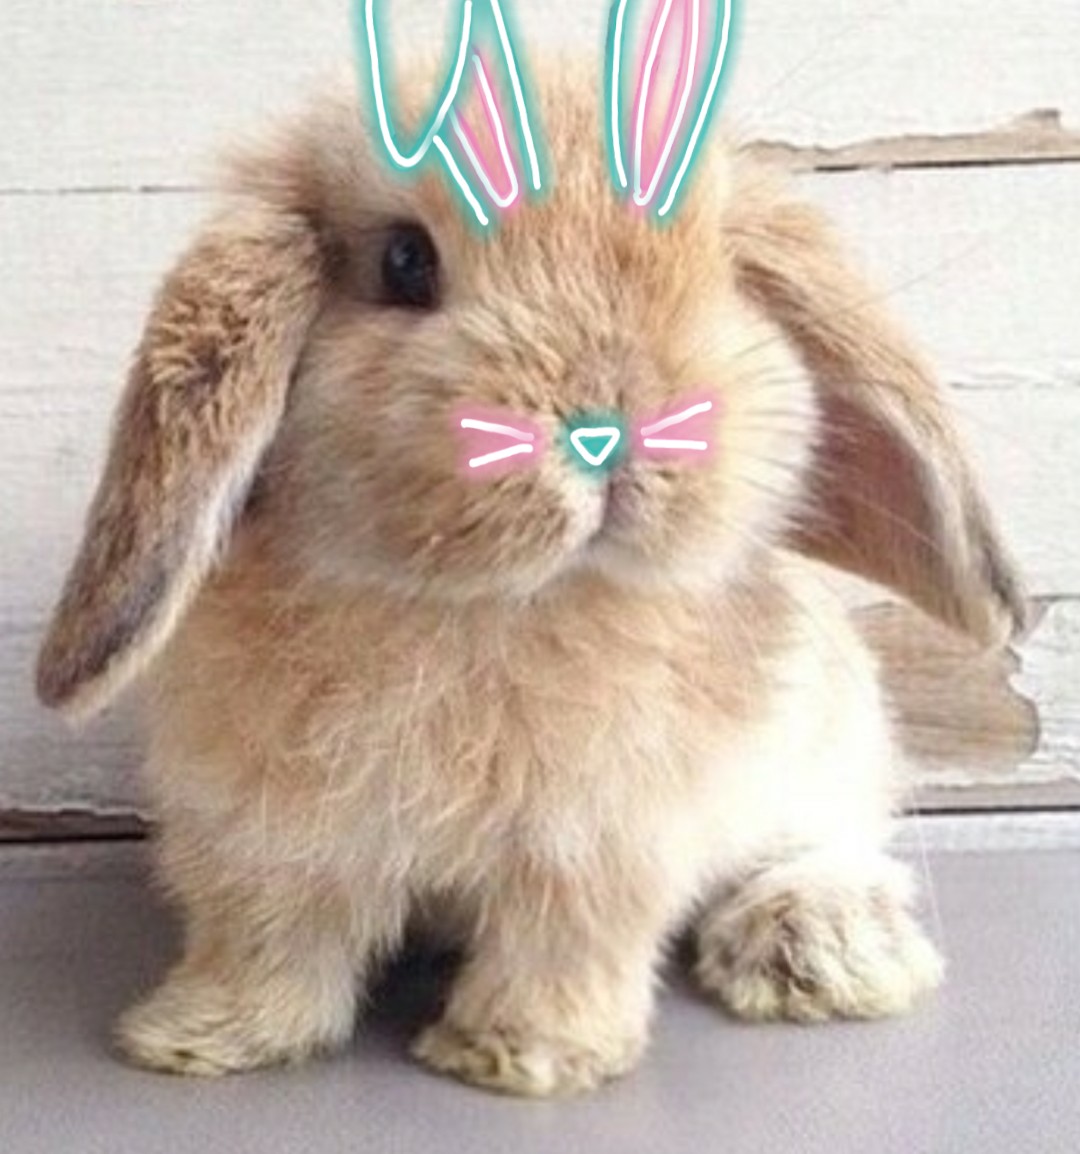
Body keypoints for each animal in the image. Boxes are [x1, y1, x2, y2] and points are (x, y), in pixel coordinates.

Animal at [35, 52, 1025, 1098]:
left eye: (713, 265)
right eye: (404, 261)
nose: (610, 423)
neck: (481, 605)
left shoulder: (593, 847)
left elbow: (560, 950)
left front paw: (520, 1058)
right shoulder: (262, 837)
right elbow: (270, 943)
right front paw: (197, 1040)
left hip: (828, 748)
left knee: (834, 841)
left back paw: (824, 949)